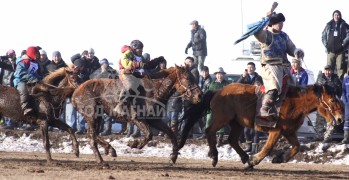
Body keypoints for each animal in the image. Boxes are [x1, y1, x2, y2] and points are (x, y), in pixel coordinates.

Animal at [71, 64, 201, 165]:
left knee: (92, 134)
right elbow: (149, 134)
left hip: (97, 117)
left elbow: (171, 134)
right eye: (187, 78)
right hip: (91, 116)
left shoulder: (155, 120)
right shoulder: (136, 118)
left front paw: (173, 156)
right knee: (92, 135)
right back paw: (102, 160)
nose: (199, 95)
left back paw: (109, 150)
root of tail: (77, 91)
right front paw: (134, 144)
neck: (152, 90)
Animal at [178, 83, 342, 169]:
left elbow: (296, 147)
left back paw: (244, 157)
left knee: (232, 140)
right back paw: (214, 156)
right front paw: (254, 160)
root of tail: (219, 91)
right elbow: (268, 147)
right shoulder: (276, 131)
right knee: (209, 131)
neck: (294, 103)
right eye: (333, 100)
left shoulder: (289, 132)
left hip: (237, 123)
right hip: (222, 118)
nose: (340, 119)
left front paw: (280, 158)